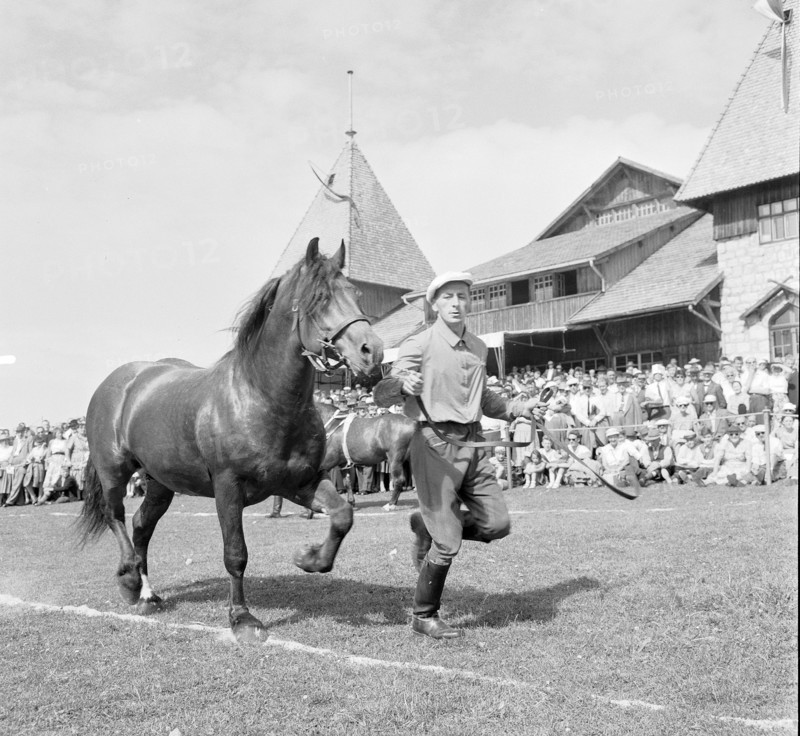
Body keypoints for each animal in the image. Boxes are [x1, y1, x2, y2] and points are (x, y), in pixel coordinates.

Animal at [77, 238, 383, 641]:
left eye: (356, 293)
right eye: (319, 299)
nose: (372, 352)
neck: (260, 398)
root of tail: (118, 381)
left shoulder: (297, 483)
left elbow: (343, 515)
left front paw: (310, 558)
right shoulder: (228, 487)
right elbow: (236, 553)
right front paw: (242, 618)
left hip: (160, 482)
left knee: (142, 526)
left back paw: (147, 594)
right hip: (114, 471)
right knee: (116, 517)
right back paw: (129, 581)